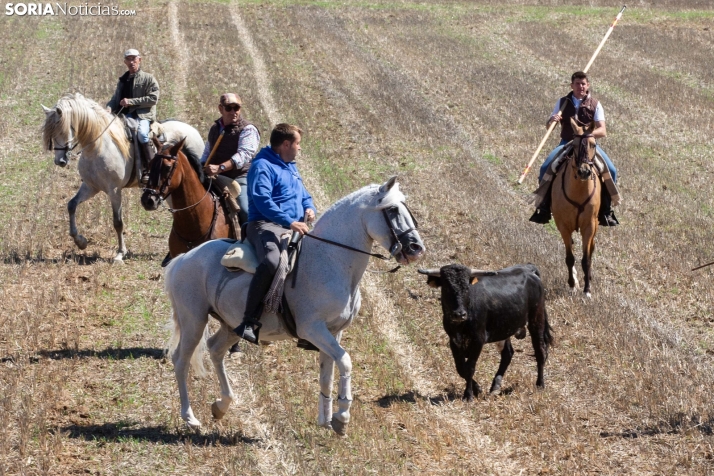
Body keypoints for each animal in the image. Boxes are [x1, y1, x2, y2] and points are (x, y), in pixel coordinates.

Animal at [41, 93, 203, 262]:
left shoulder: (114, 190)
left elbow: (118, 222)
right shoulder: (91, 187)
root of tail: (192, 130)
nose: (60, 161)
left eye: (62, 130)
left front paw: (120, 253)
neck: (98, 146)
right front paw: (81, 242)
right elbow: (71, 205)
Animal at [164, 176, 426, 436]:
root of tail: (184, 258)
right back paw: (190, 417)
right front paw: (342, 416)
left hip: (230, 325)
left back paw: (221, 406)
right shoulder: (313, 329)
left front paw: (326, 420)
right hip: (193, 320)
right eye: (392, 210)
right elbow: (345, 362)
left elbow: (328, 373)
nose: (416, 248)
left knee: (215, 349)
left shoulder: (333, 333)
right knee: (181, 360)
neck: (329, 260)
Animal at [420, 262, 552, 400]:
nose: (460, 314)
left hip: (536, 320)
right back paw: (495, 387)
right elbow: (461, 368)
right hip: (504, 329)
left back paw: (540, 384)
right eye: (446, 288)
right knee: (507, 354)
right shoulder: (454, 340)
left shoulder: (478, 340)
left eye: (467, 288)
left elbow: (470, 367)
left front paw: (468, 395)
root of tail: (528, 268)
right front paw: (477, 388)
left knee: (540, 351)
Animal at [552, 118, 600, 298]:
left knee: (591, 248)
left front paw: (587, 290)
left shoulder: (589, 226)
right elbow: (570, 257)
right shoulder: (563, 226)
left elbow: (586, 259)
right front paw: (573, 284)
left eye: (593, 144)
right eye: (575, 144)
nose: (584, 172)